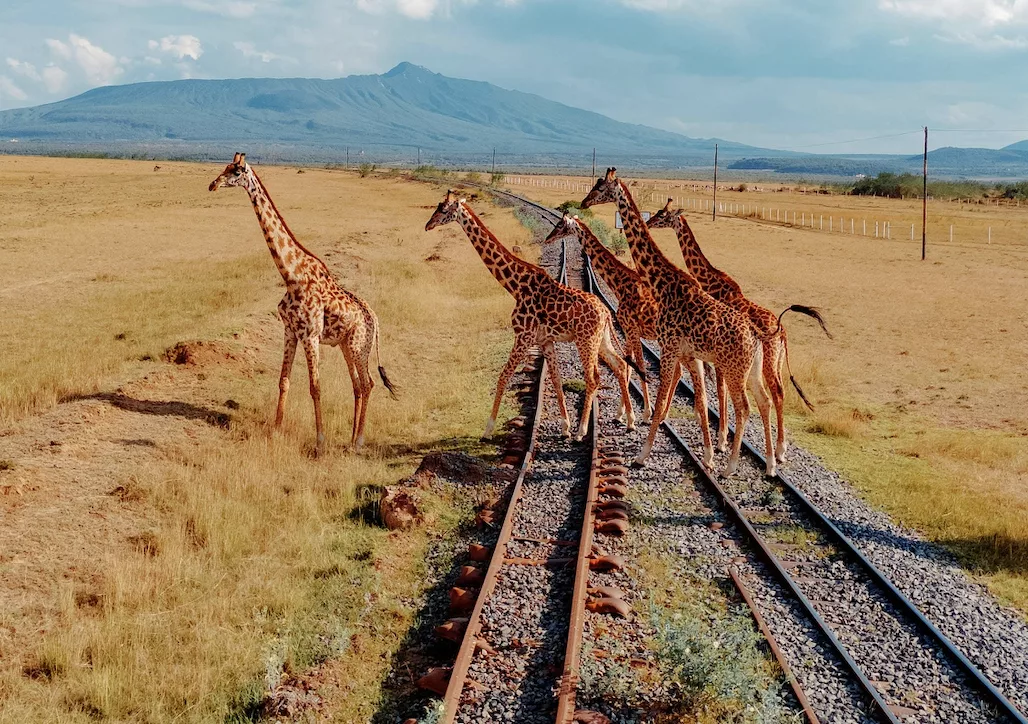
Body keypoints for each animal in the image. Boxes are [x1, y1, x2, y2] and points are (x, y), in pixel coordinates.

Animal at [208, 153, 396, 455]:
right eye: (225, 167)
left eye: (236, 171)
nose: (213, 184)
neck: (291, 275)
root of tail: (375, 319)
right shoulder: (290, 331)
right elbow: (284, 381)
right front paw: (275, 431)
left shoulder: (310, 335)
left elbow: (315, 387)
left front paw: (320, 441)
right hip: (346, 345)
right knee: (357, 385)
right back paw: (349, 438)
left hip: (360, 345)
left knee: (367, 384)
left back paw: (358, 441)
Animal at [425, 191, 635, 441]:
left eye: (443, 209)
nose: (428, 225)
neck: (515, 285)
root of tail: (605, 312)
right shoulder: (545, 341)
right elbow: (556, 379)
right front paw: (564, 426)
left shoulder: (523, 336)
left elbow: (504, 376)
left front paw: (488, 429)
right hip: (601, 340)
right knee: (620, 365)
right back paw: (628, 420)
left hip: (586, 341)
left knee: (594, 378)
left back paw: (583, 431)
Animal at [543, 213, 658, 422]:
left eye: (560, 225)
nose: (549, 238)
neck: (621, 285)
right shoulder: (629, 330)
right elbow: (628, 366)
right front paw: (623, 414)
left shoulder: (632, 329)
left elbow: (638, 366)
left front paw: (644, 413)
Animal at [582, 168, 778, 477]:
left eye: (600, 187)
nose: (583, 202)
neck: (663, 283)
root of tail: (758, 334)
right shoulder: (686, 352)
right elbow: (695, 397)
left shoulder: (667, 345)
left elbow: (659, 388)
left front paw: (642, 452)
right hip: (752, 368)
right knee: (765, 400)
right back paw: (769, 464)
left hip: (735, 369)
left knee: (746, 407)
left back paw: (731, 466)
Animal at [647, 199, 832, 463]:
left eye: (663, 215)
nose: (649, 222)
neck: (711, 282)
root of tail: (783, 332)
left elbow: (720, 389)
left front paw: (722, 440)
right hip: (775, 362)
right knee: (779, 392)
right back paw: (778, 449)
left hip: (766, 363)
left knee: (776, 393)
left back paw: (779, 451)